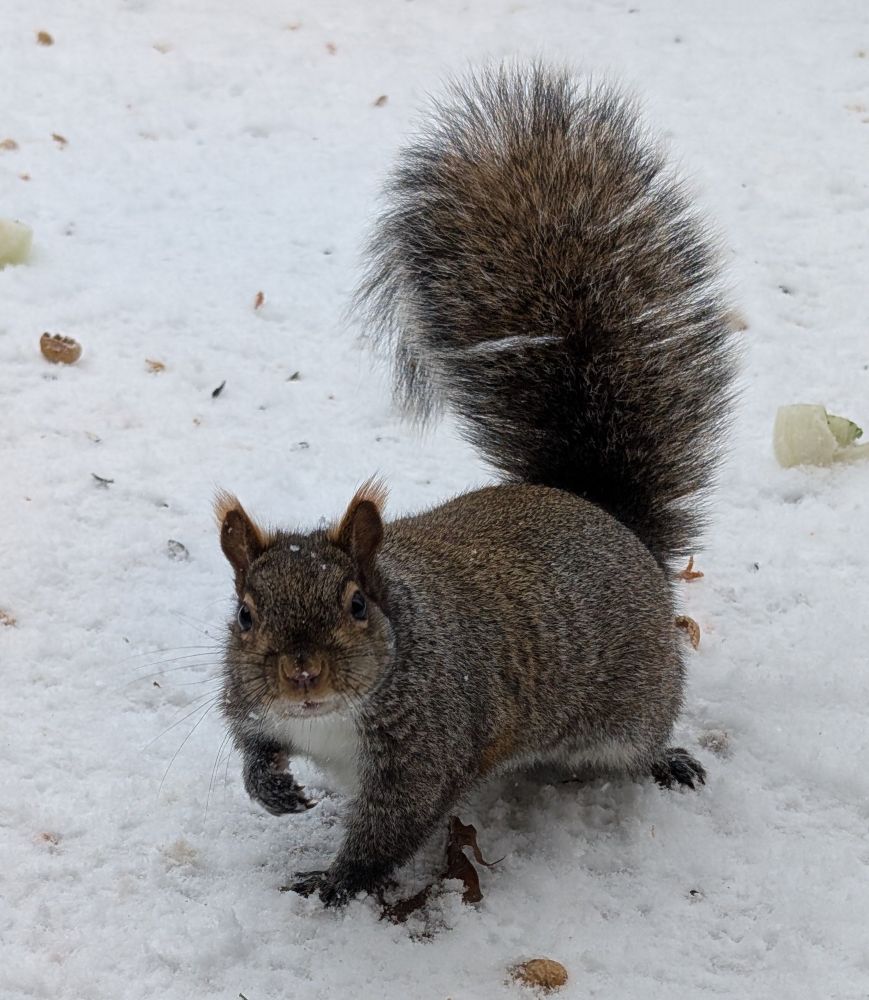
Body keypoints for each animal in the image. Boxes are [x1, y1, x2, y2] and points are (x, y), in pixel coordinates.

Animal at [216, 64, 738, 906]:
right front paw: (270, 786)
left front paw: (334, 885)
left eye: (356, 605)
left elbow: (389, 830)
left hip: (633, 698)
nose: (300, 674)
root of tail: (602, 513)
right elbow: (249, 740)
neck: (329, 716)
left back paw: (667, 758)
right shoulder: (250, 699)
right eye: (243, 615)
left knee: (640, 737)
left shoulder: (423, 752)